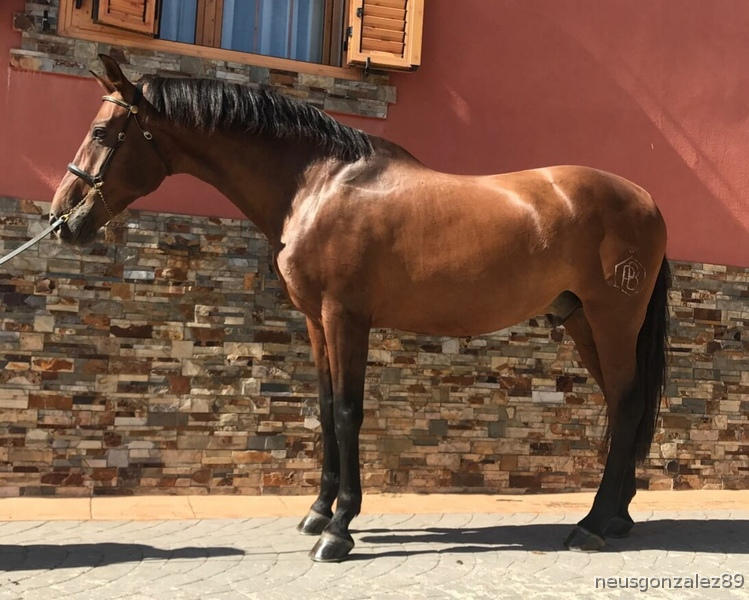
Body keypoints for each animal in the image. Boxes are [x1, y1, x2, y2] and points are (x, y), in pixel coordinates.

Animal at [50, 55, 669, 562]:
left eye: (102, 131)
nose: (62, 219)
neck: (318, 184)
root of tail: (646, 200)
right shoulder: (314, 321)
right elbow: (325, 411)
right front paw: (317, 511)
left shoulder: (344, 316)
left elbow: (348, 412)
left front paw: (339, 528)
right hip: (582, 322)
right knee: (626, 404)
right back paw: (616, 516)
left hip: (612, 321)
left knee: (627, 402)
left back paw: (591, 524)